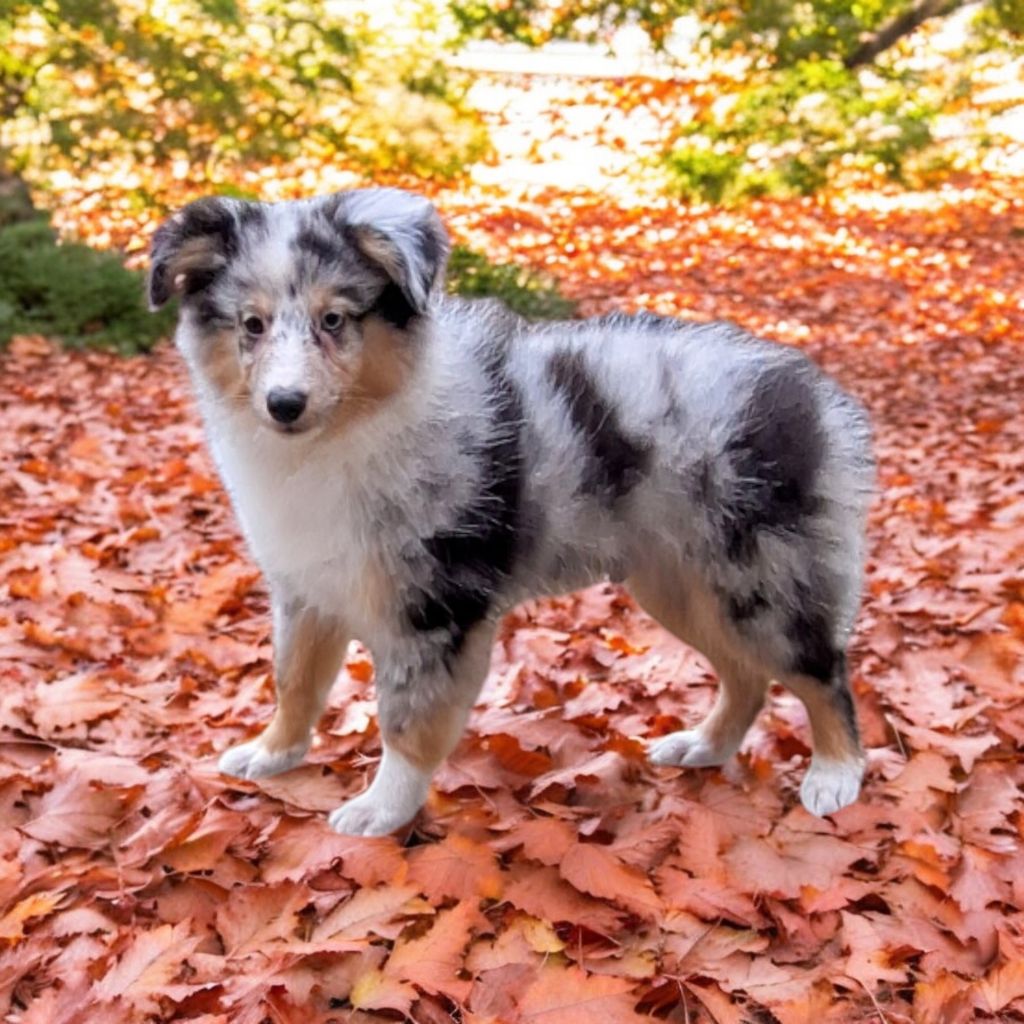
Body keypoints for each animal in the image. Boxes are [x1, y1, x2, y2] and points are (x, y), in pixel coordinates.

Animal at [149, 188, 872, 835]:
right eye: (251, 325)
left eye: (335, 321)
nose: (284, 404)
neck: (341, 436)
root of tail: (818, 395)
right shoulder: (307, 589)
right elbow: (293, 681)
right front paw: (272, 754)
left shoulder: (434, 607)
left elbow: (406, 719)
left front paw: (382, 810)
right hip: (681, 584)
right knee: (748, 677)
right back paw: (703, 747)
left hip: (763, 576)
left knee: (821, 671)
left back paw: (835, 775)